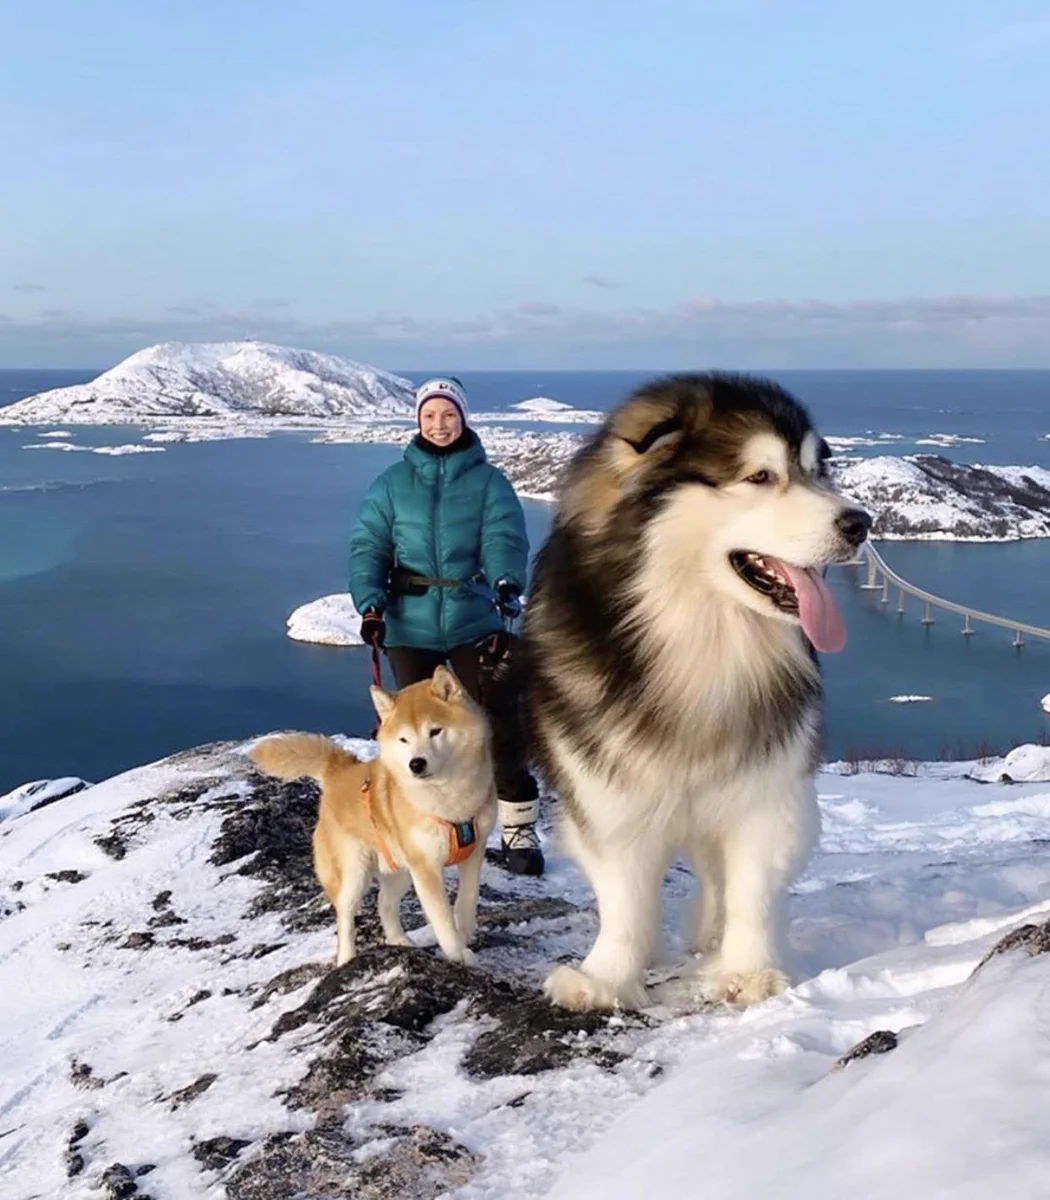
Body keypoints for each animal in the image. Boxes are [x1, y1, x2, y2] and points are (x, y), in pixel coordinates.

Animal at [249, 662, 496, 969]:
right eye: (404, 739)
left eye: (435, 731)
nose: (416, 764)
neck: (449, 802)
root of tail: (339, 771)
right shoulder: (426, 868)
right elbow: (442, 919)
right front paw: (457, 953)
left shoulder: (474, 852)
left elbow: (467, 900)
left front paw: (465, 933)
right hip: (355, 873)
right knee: (345, 917)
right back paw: (346, 959)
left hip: (400, 869)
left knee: (384, 903)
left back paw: (399, 940)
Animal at [525, 374, 868, 1012]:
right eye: (760, 476)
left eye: (818, 471)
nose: (861, 523)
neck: (700, 641)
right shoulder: (608, 789)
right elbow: (625, 898)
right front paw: (606, 978)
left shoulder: (767, 785)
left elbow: (751, 887)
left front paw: (748, 971)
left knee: (716, 875)